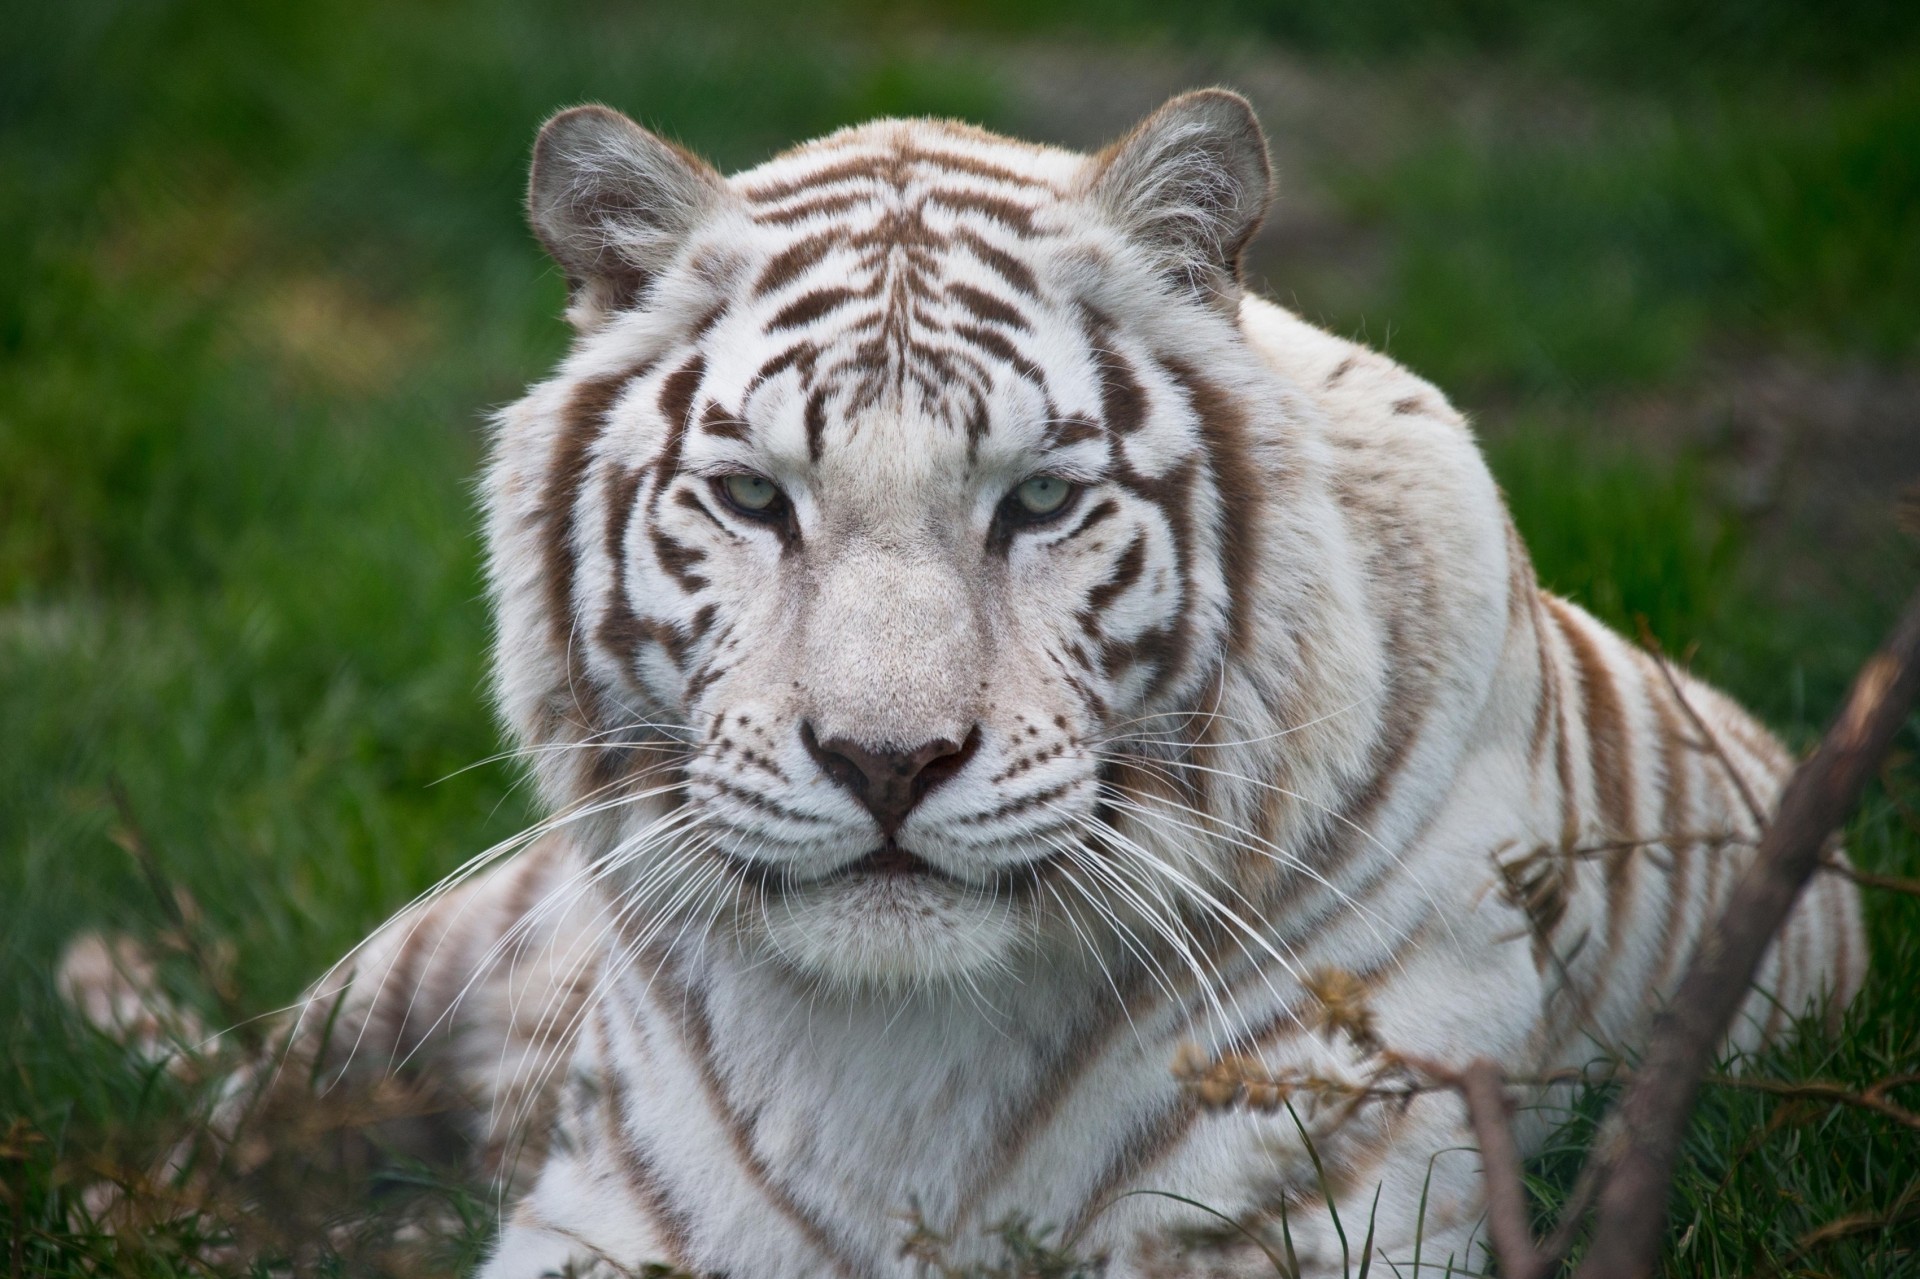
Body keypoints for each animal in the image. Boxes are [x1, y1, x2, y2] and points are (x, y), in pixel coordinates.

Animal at [71, 89, 1858, 1275]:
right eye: (755, 497)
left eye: (1041, 500)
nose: (886, 759)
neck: (895, 1062)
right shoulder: (608, 1212)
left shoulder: (1308, 1204)